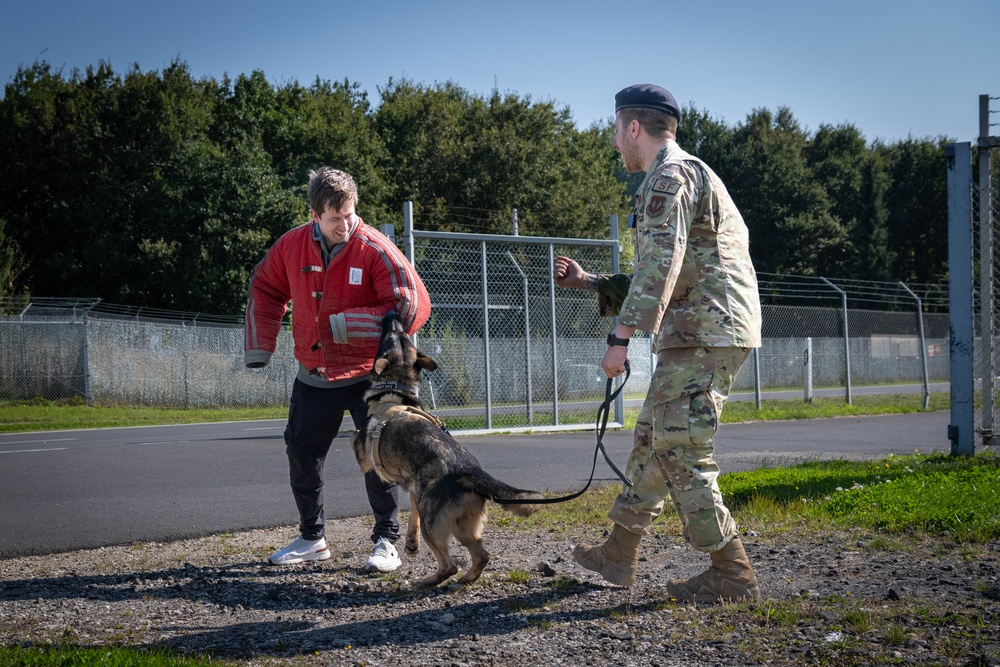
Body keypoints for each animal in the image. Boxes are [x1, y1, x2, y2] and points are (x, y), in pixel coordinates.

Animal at [350, 312, 544, 584]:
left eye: (389, 337)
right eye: (402, 335)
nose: (392, 314)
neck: (397, 387)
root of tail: (470, 472)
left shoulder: (364, 457)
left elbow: (354, 434)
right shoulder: (415, 490)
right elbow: (412, 514)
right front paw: (411, 543)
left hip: (434, 525)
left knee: (449, 565)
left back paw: (426, 581)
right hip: (458, 523)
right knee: (482, 555)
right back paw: (467, 578)